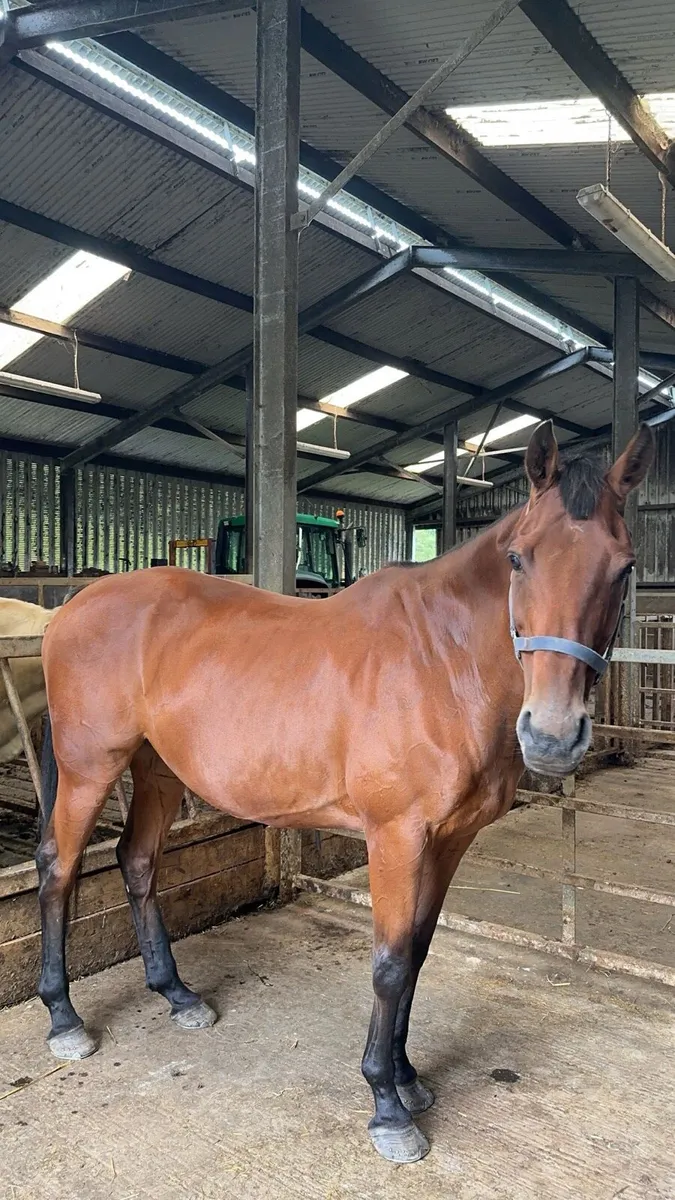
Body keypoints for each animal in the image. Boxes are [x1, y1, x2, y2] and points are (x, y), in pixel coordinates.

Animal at [35, 420, 653, 1163]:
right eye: (517, 560)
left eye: (623, 567)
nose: (553, 736)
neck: (441, 662)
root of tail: (70, 609)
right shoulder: (396, 838)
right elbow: (388, 963)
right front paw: (387, 1107)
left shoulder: (449, 842)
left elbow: (416, 953)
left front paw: (409, 1078)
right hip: (89, 769)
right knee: (60, 869)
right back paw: (64, 1018)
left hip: (158, 769)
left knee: (137, 862)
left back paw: (177, 995)